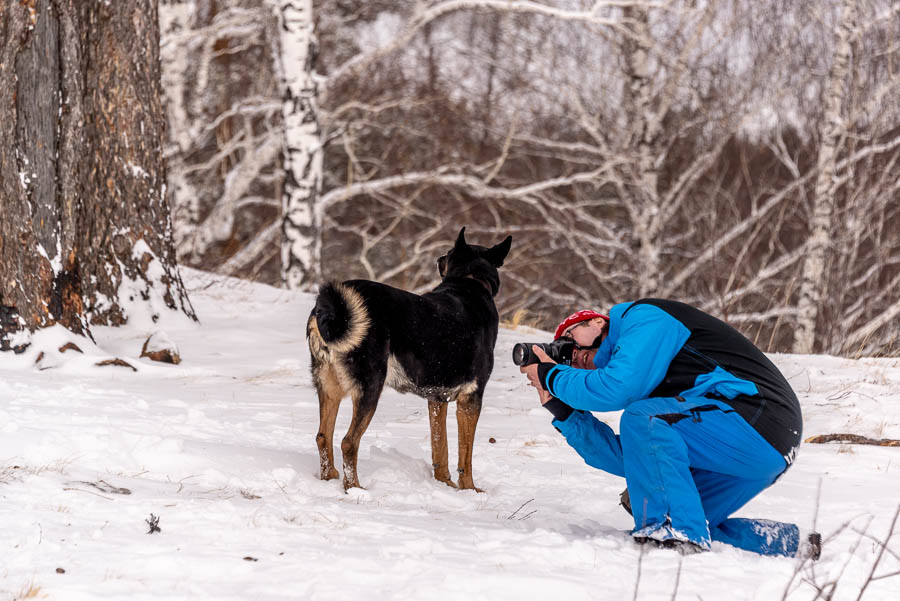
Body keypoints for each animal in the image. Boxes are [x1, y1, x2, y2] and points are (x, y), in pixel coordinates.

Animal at [306, 227, 510, 490]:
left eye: (447, 254)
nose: (439, 259)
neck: (470, 281)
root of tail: (330, 311)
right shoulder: (471, 398)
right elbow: (466, 455)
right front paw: (470, 489)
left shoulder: (437, 399)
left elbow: (440, 446)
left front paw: (445, 484)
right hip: (370, 386)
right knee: (348, 442)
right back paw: (355, 488)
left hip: (330, 387)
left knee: (323, 436)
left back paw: (329, 477)